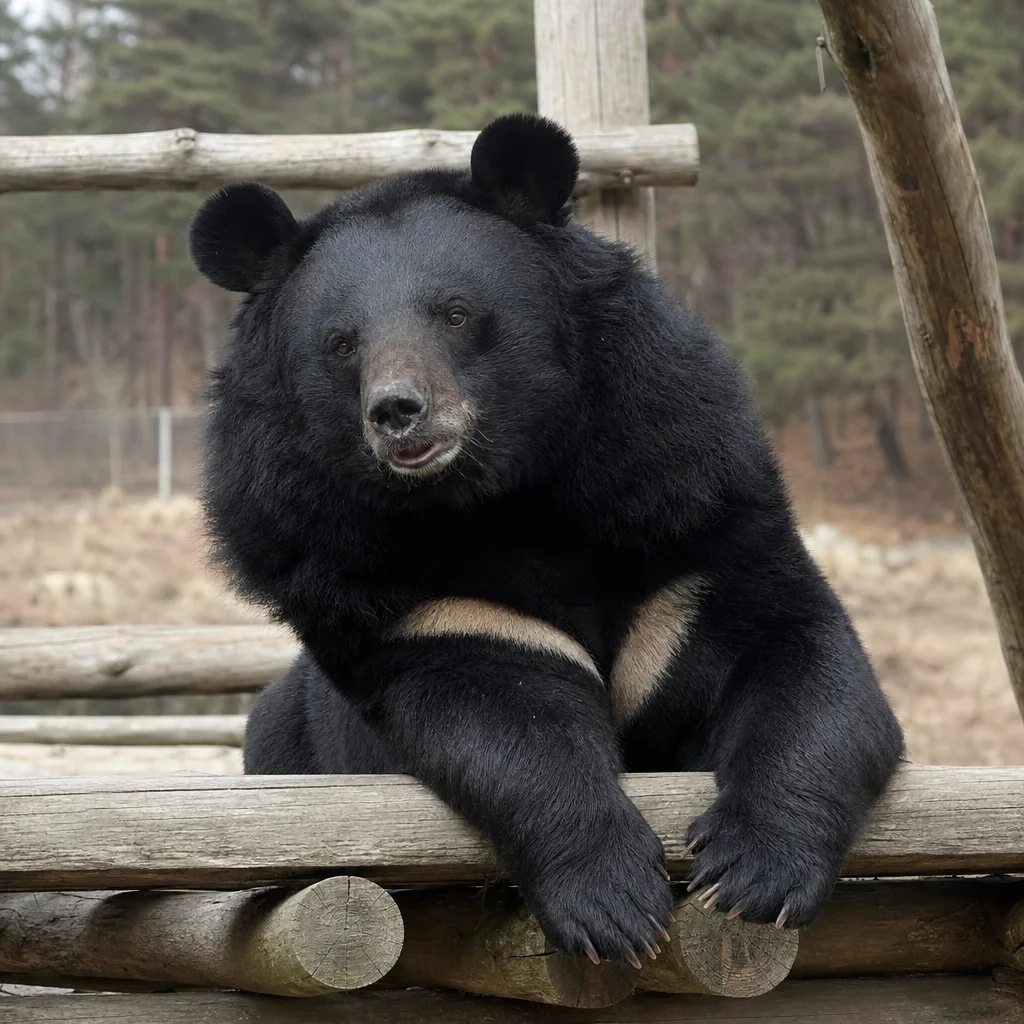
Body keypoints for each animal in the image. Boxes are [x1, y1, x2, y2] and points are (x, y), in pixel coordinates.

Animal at [188, 113, 904, 968]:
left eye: (456, 313)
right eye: (340, 344)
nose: (398, 412)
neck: (497, 496)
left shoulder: (686, 510)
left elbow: (796, 661)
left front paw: (751, 876)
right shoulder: (373, 581)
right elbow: (506, 720)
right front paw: (614, 904)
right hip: (288, 738)